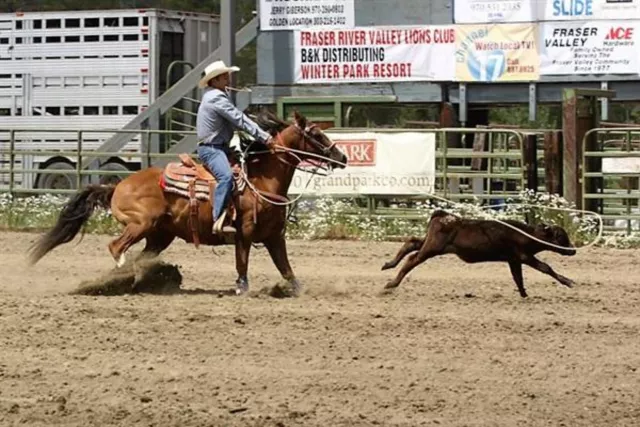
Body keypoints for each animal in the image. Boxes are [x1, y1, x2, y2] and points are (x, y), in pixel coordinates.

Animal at [27, 110, 348, 296]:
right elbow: (242, 263)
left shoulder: (274, 237)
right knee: (116, 247)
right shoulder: (243, 234)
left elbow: (287, 270)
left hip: (159, 236)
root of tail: (118, 185)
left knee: (140, 257)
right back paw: (121, 279)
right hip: (141, 223)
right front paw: (242, 289)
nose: (342, 157)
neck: (261, 179)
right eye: (316, 134)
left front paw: (298, 291)